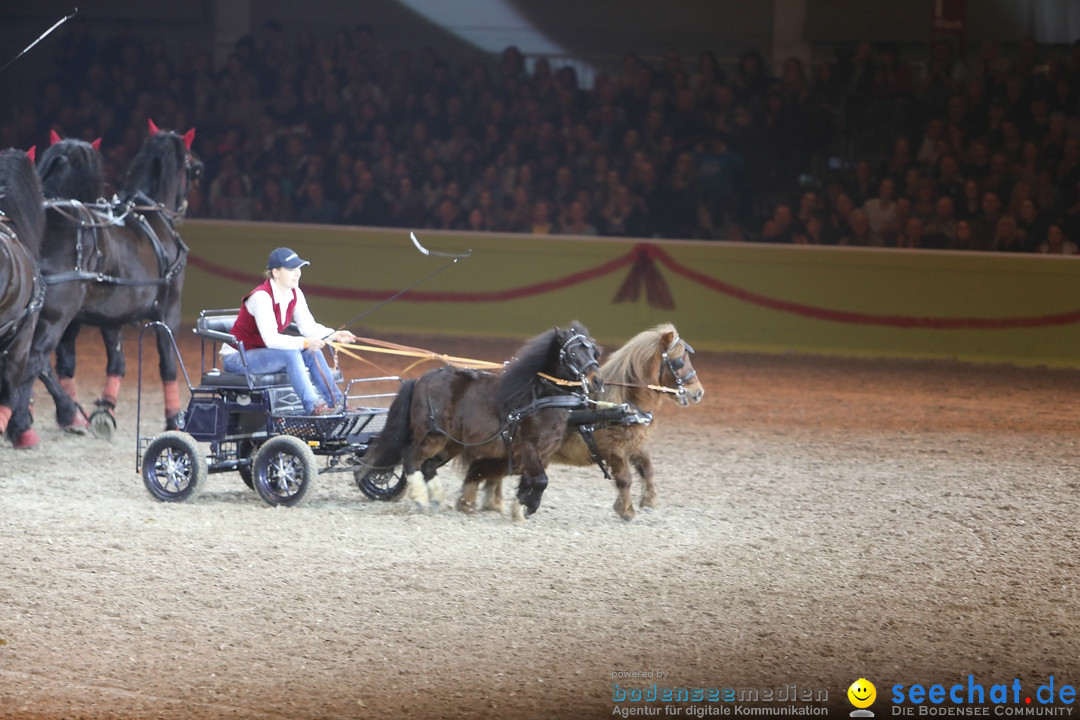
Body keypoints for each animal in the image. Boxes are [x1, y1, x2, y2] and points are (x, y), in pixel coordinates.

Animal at [8, 124, 200, 451]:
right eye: (190, 164)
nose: (185, 206)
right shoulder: (169, 311)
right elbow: (168, 364)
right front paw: (174, 418)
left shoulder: (110, 317)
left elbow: (113, 363)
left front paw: (105, 408)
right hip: (56, 314)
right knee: (34, 359)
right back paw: (25, 424)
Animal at [358, 323, 604, 520]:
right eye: (573, 352)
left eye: (594, 351)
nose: (597, 381)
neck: (538, 398)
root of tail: (421, 378)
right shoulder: (527, 447)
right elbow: (541, 481)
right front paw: (528, 507)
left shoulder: (543, 453)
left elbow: (531, 481)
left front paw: (520, 507)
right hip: (431, 435)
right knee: (410, 457)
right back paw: (420, 498)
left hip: (452, 443)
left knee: (427, 465)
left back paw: (437, 499)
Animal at [477, 323, 704, 520]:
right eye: (680, 360)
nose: (698, 392)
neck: (623, 402)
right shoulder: (615, 449)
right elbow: (625, 478)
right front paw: (626, 510)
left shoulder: (634, 443)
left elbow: (647, 468)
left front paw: (648, 500)